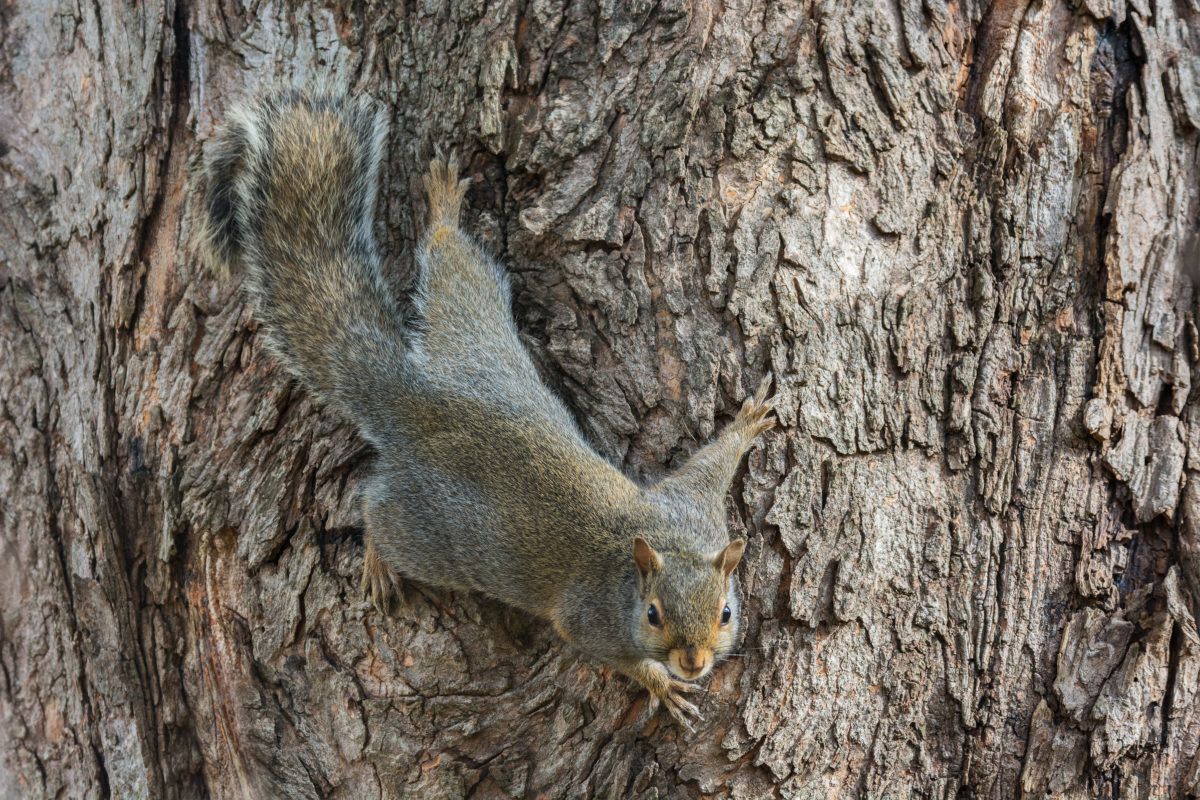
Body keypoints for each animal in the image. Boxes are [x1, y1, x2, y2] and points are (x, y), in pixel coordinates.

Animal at [191, 91, 777, 730]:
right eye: (652, 615)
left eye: (726, 612)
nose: (693, 663)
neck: (648, 555)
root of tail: (420, 401)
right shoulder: (590, 616)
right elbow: (605, 649)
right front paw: (660, 684)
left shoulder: (692, 512)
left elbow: (702, 472)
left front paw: (745, 425)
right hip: (430, 532)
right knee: (375, 512)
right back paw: (376, 562)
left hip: (473, 334)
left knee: (452, 261)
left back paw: (445, 209)